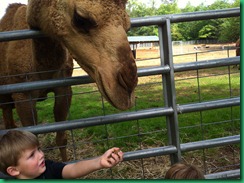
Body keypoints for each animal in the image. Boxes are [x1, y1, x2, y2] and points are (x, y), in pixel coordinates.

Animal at [0, 0, 137, 161]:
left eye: (128, 25)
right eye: (80, 18)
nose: (128, 86)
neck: (42, 70)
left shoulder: (63, 89)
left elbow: (62, 138)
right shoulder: (22, 95)